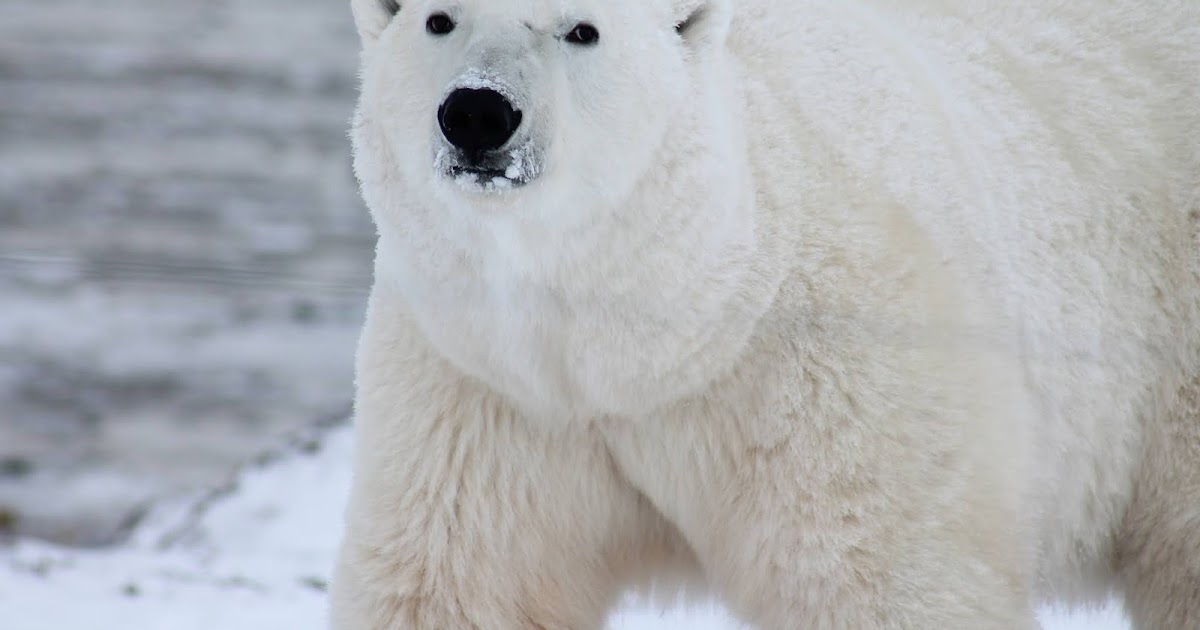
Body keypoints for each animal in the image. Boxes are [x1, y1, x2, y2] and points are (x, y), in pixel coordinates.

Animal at [330, 0, 1200, 628]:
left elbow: (881, 580)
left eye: (580, 29)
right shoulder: (487, 388)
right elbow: (460, 584)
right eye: (439, 18)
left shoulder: (837, 374)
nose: (478, 113)